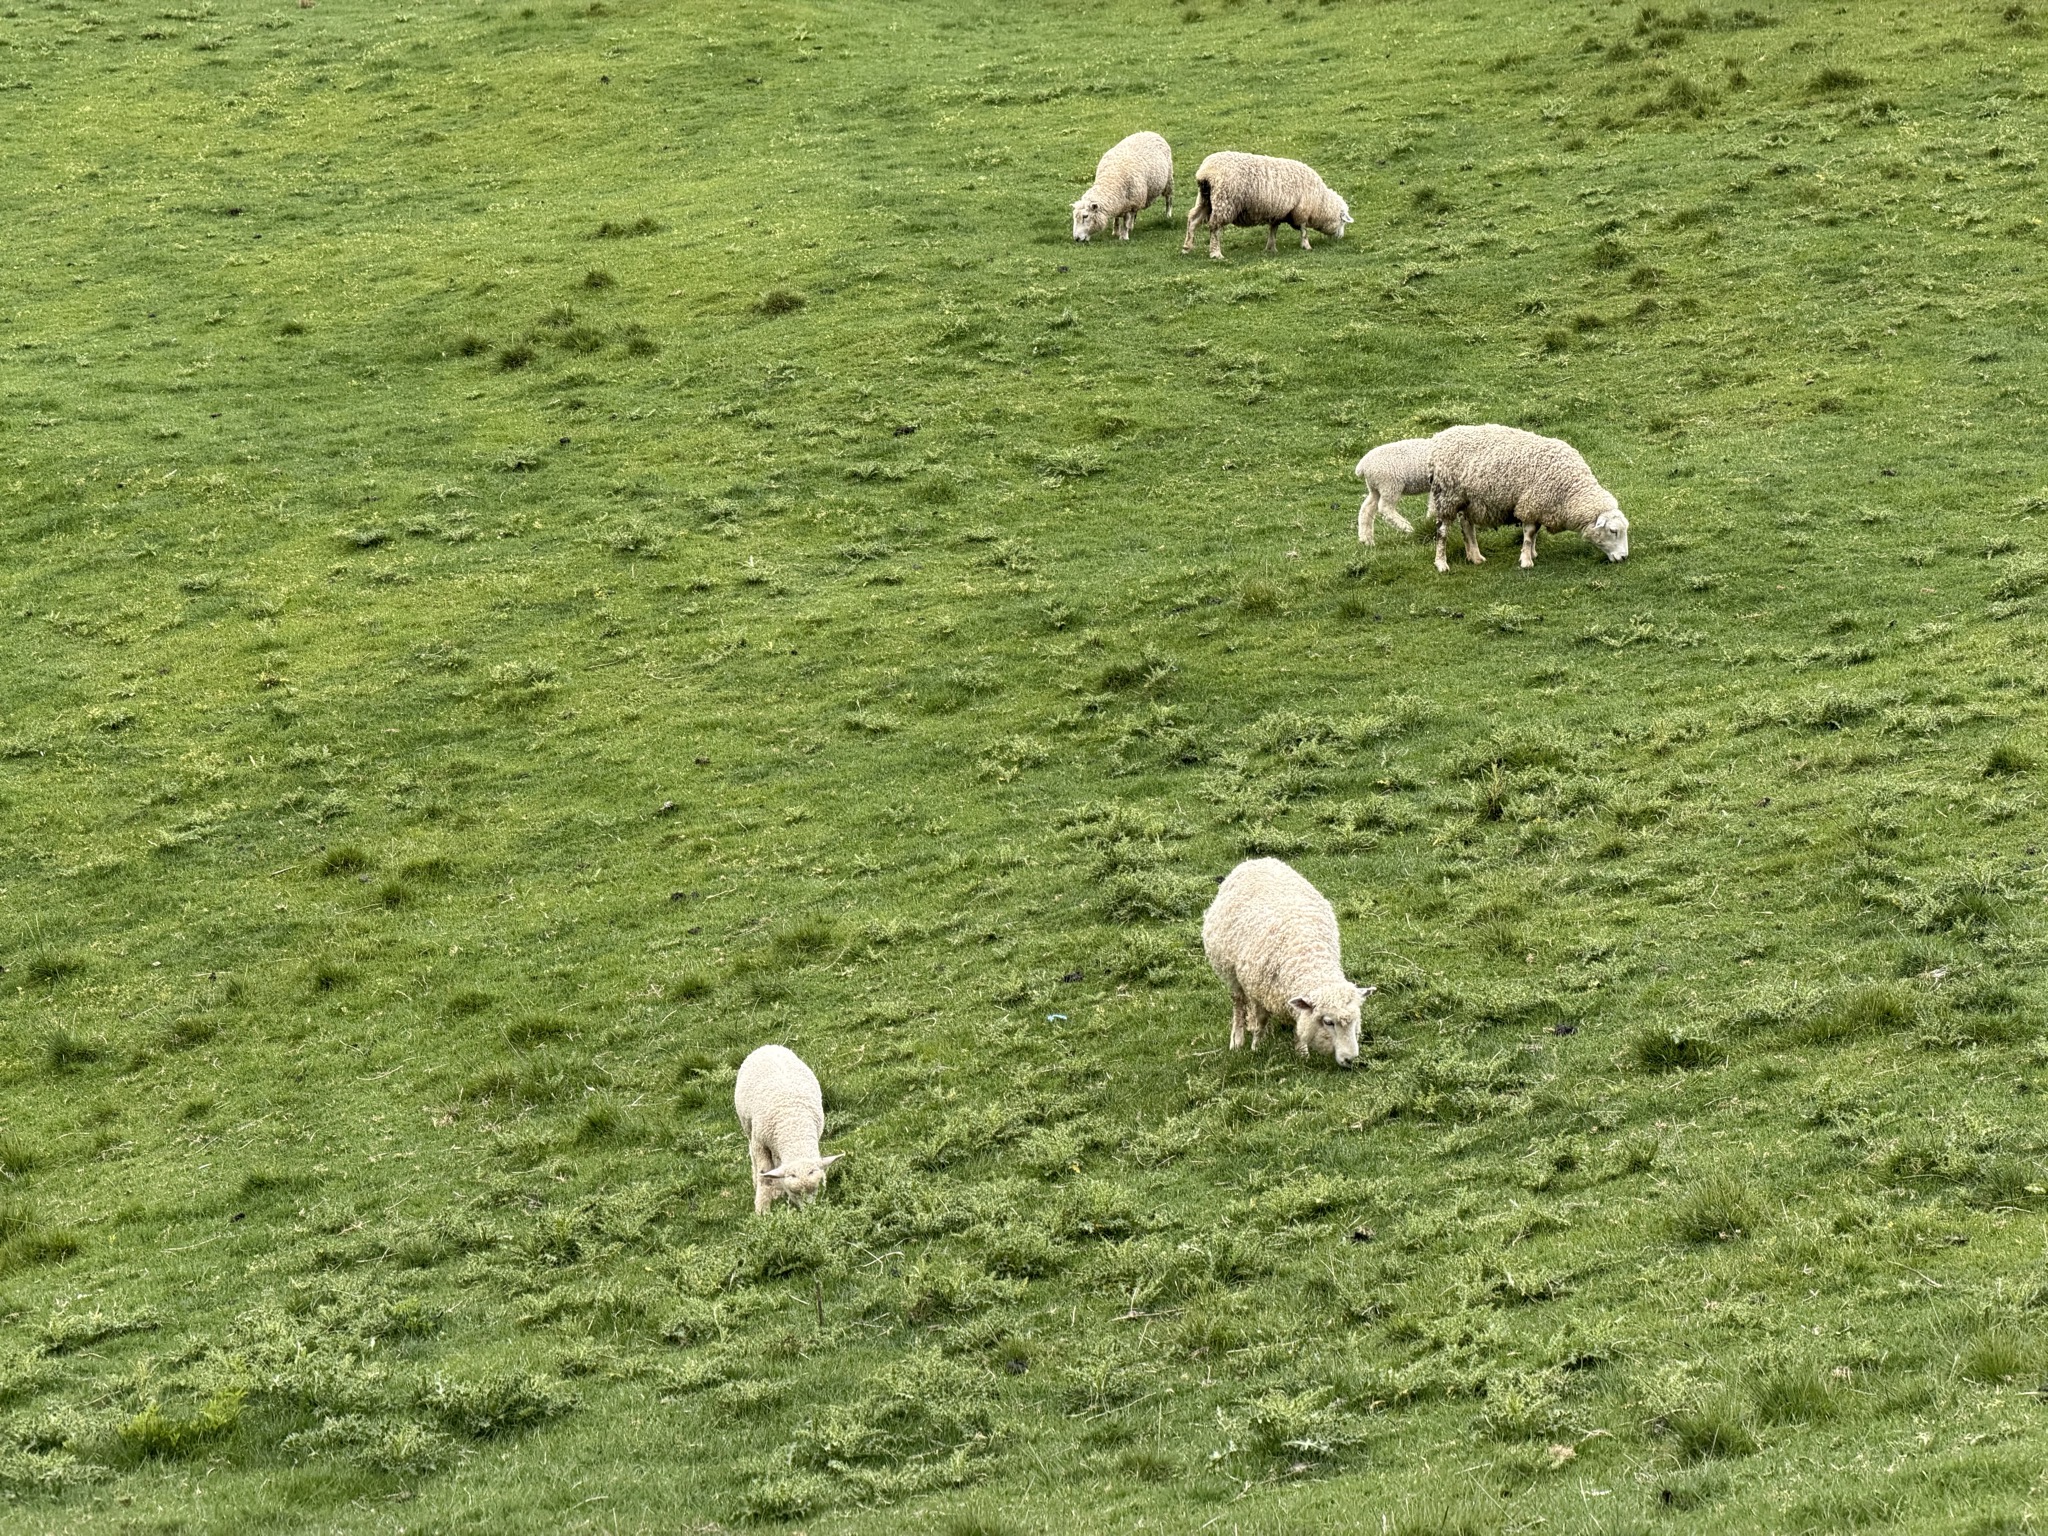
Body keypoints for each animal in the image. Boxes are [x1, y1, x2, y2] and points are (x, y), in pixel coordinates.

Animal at [734, 1044, 842, 1214]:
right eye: (793, 1192)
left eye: (816, 1189)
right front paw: (762, 1209)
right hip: (747, 1125)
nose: (810, 1211)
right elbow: (764, 1174)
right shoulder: (760, 1144)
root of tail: (768, 1046)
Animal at [1181, 151, 1352, 260]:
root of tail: (1205, 172)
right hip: (1225, 201)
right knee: (1215, 227)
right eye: (1342, 221)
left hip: (1206, 200)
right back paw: (1216, 254)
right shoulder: (1301, 211)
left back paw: (1186, 248)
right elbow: (1304, 231)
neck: (1320, 201)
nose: (1341, 238)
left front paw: (1271, 248)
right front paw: (1306, 246)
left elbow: (1273, 230)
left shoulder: (1278, 212)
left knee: (1193, 220)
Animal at [1202, 857, 1373, 1068]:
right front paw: (1257, 1046)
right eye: (1328, 1022)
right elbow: (1261, 1019)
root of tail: (1256, 860)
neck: (1307, 957)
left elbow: (1297, 1026)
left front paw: (1302, 1053)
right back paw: (1238, 1038)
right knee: (1238, 1002)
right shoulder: (1259, 989)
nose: (1350, 1060)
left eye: (1356, 1020)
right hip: (1229, 969)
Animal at [1424, 423, 1630, 573]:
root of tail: (1439, 438)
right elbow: (1530, 534)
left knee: (1467, 526)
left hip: (1467, 499)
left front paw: (1532, 553)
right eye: (1613, 531)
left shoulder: (1538, 506)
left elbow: (1535, 533)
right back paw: (1441, 564)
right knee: (1442, 532)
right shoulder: (1531, 503)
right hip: (1446, 496)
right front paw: (1526, 560)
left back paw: (1475, 557)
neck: (1572, 491)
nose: (1624, 557)